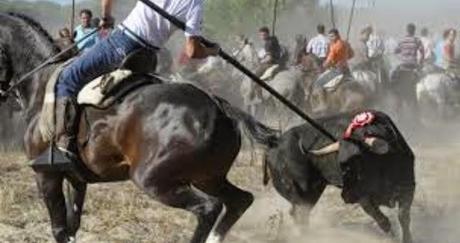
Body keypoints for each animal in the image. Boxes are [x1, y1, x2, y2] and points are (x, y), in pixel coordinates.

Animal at [0, 13, 280, 243]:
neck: (41, 82)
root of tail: (219, 107)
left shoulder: (47, 175)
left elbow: (59, 229)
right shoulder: (76, 178)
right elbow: (72, 226)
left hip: (155, 179)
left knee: (209, 208)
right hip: (208, 176)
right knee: (240, 200)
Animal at [264, 111, 416, 243]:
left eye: (358, 160)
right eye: (340, 164)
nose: (345, 197)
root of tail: (274, 144)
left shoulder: (407, 188)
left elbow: (403, 217)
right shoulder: (364, 198)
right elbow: (383, 220)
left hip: (312, 193)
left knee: (298, 214)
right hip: (301, 193)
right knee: (299, 215)